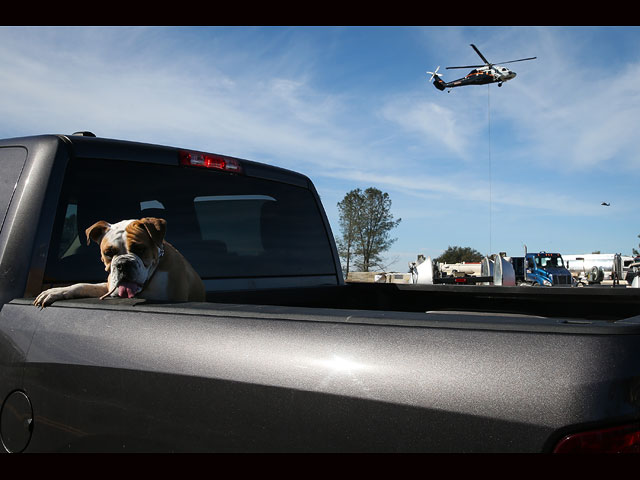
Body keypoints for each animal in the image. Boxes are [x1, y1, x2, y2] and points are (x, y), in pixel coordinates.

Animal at [32, 218, 205, 308]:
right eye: (108, 253)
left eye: (139, 249)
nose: (123, 264)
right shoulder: (108, 287)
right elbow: (81, 285)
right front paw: (56, 291)